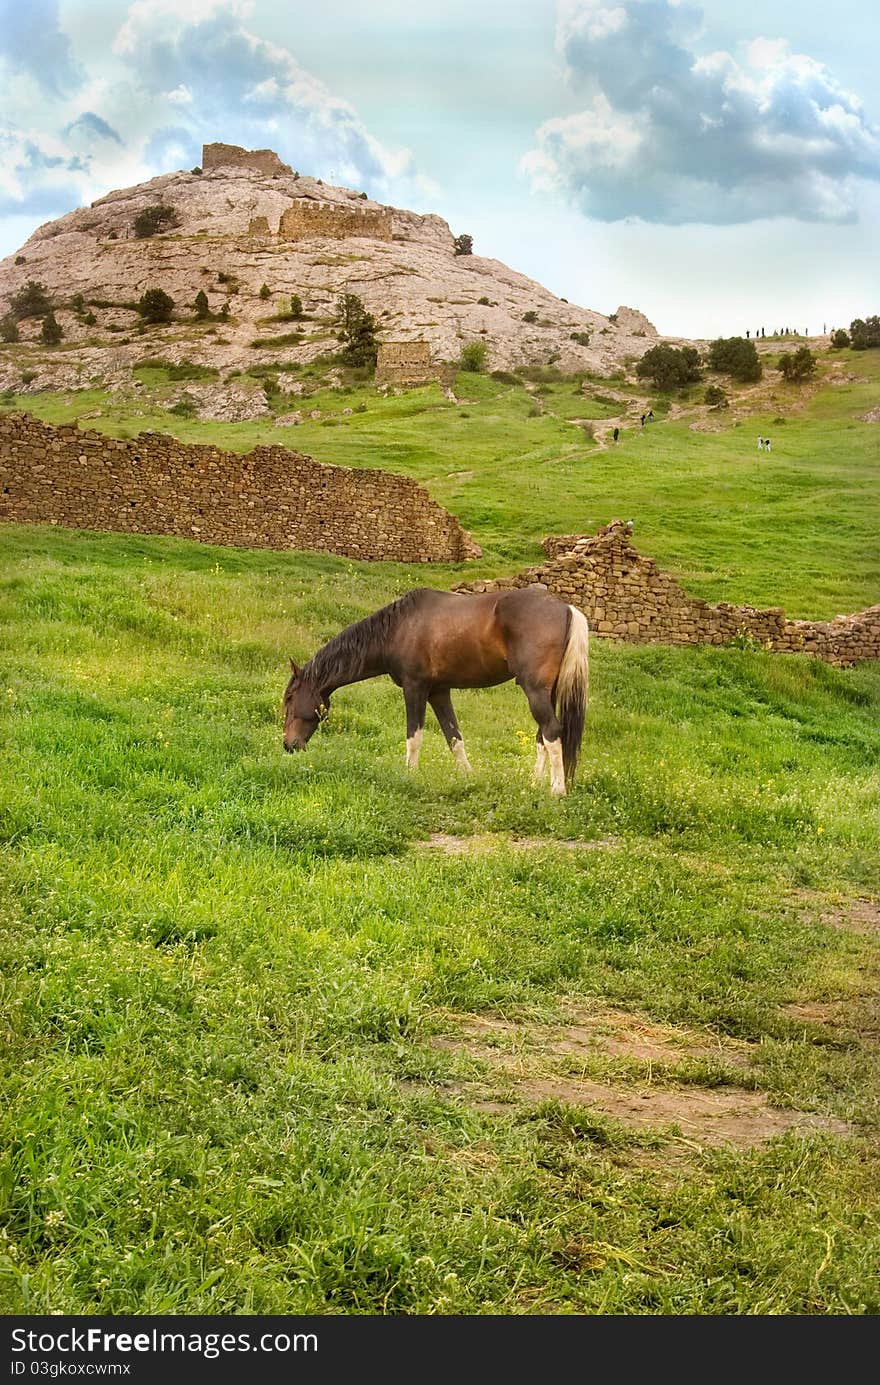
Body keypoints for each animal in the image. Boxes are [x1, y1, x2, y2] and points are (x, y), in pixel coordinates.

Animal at [284, 584, 593, 797]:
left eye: (289, 698)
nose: (289, 745)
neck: (398, 628)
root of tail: (567, 609)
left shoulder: (415, 688)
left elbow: (414, 737)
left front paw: (409, 776)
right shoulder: (439, 692)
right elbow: (454, 737)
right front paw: (468, 778)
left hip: (535, 691)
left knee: (551, 731)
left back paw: (557, 790)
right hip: (546, 693)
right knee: (543, 736)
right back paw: (534, 784)